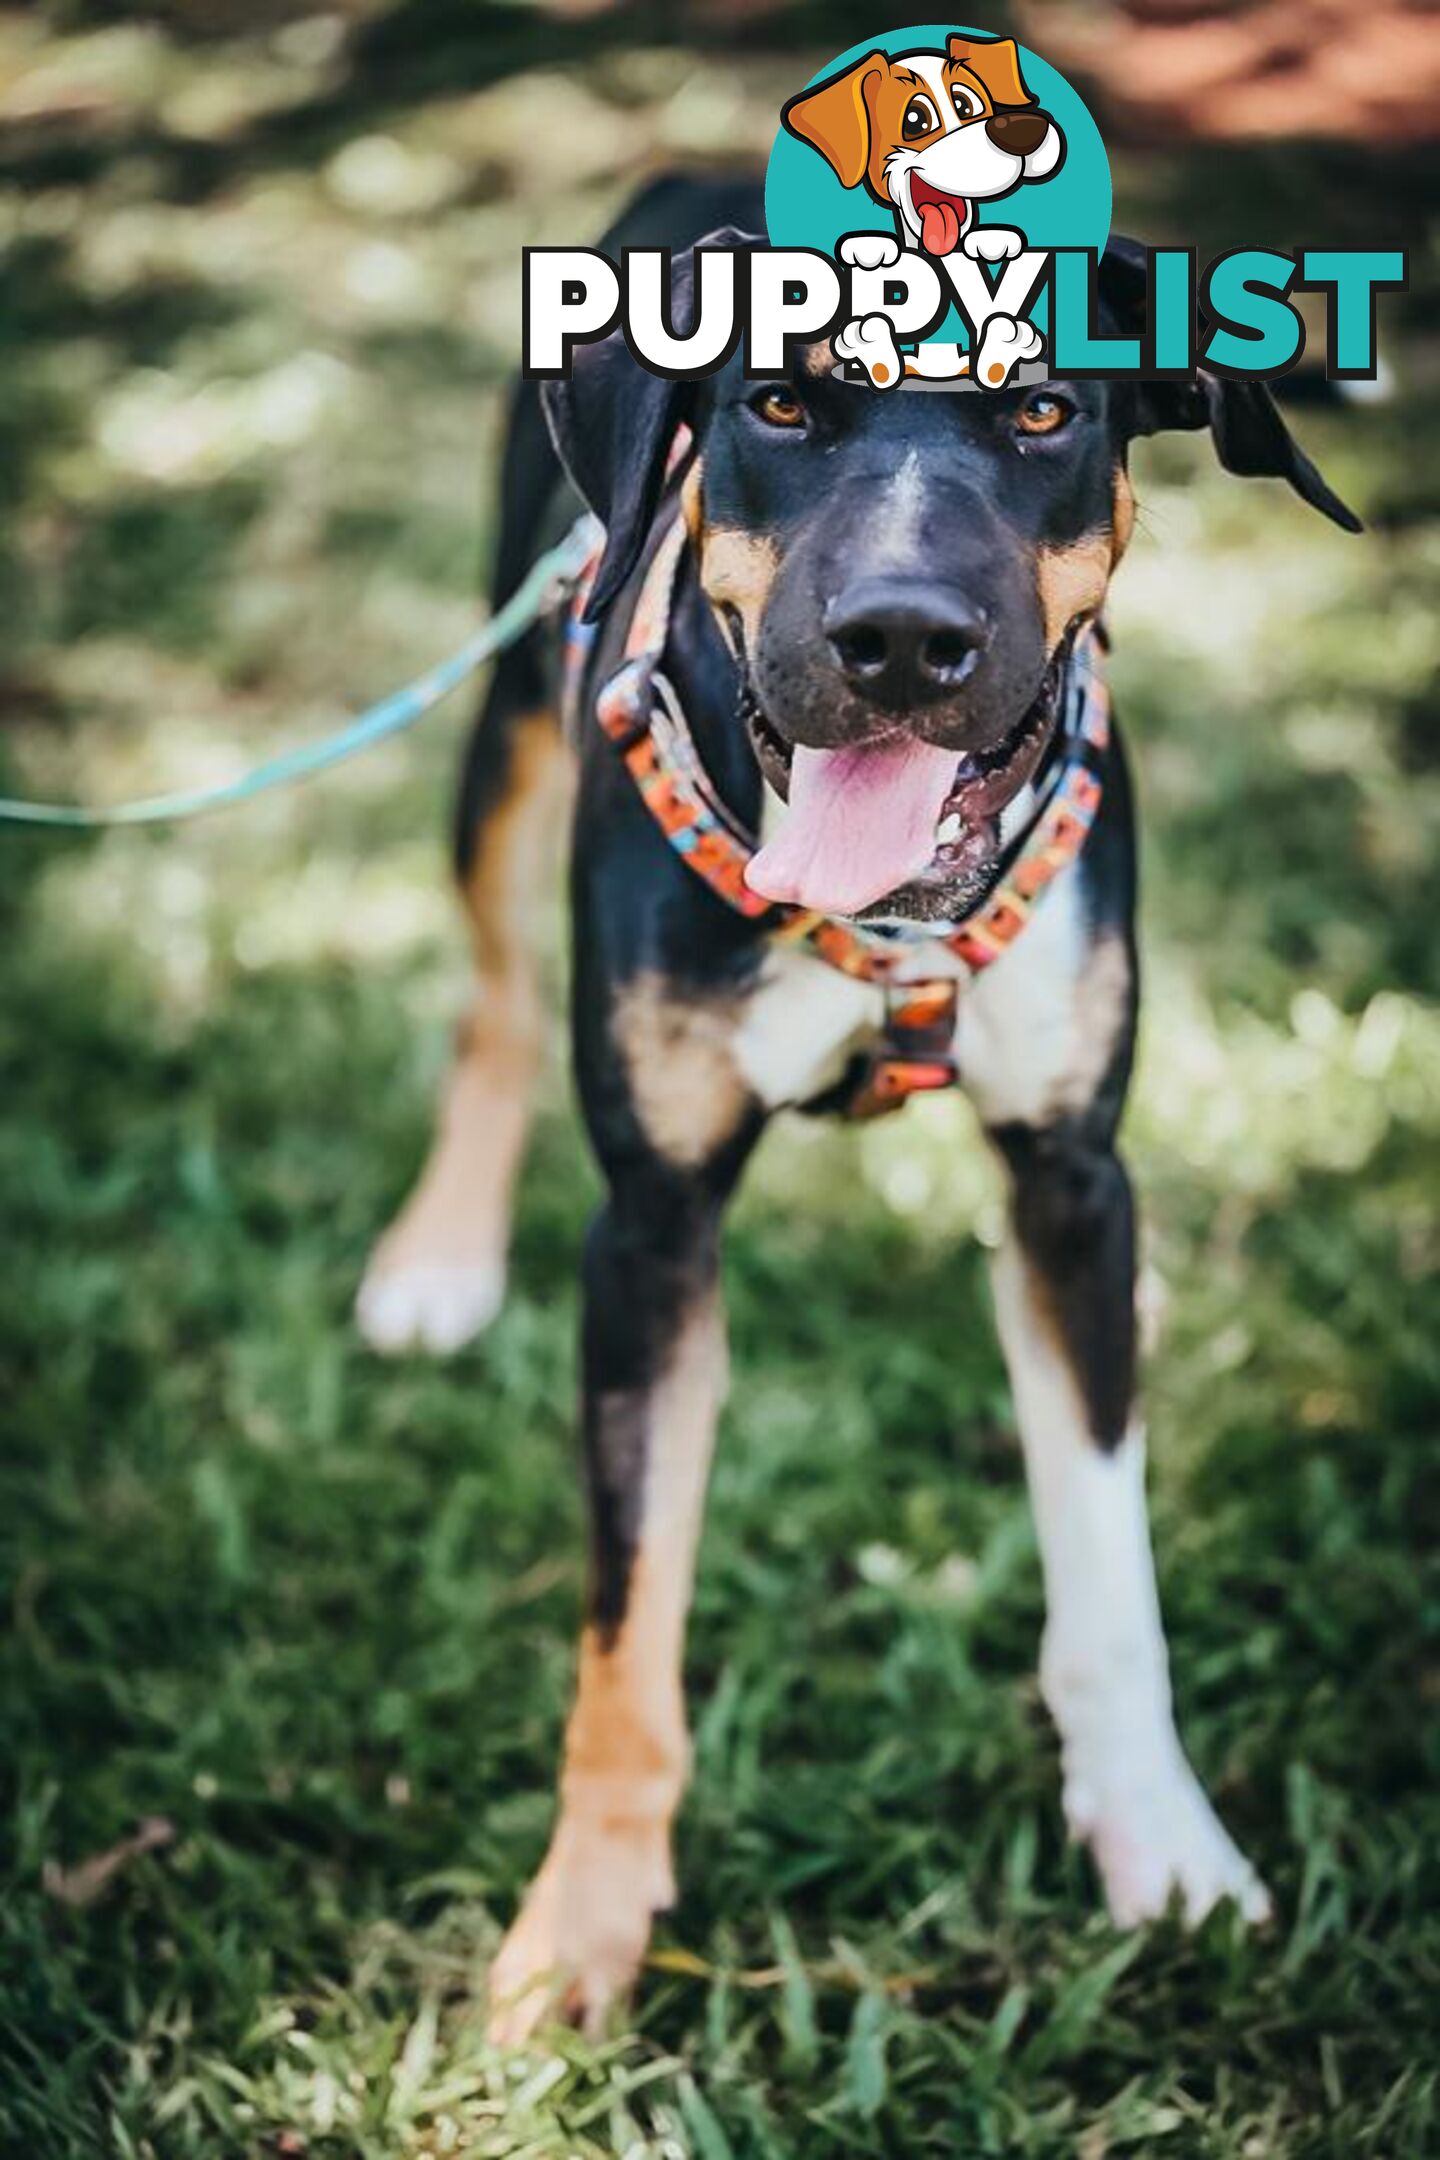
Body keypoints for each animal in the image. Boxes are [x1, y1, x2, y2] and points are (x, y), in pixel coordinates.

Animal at [354, 172, 1355, 2039]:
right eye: (777, 404)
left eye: (1041, 410)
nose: (898, 639)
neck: (887, 916)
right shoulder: (650, 1237)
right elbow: (626, 1636)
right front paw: (579, 1930)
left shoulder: (1071, 1184)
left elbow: (1108, 1567)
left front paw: (1164, 1846)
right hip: (509, 715)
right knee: (494, 1001)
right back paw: (440, 1254)